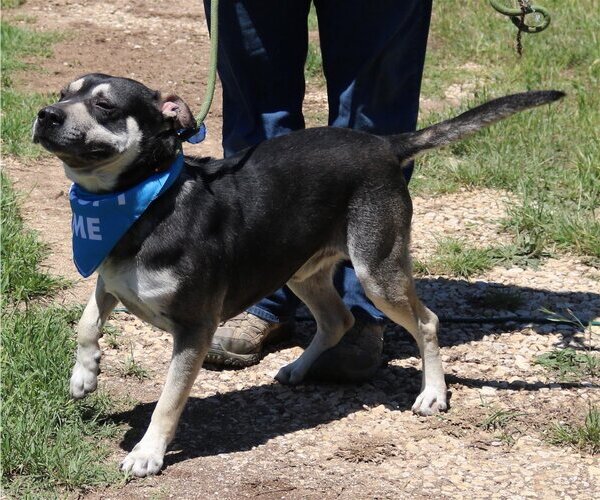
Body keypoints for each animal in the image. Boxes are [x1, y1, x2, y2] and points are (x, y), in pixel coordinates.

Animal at [32, 73, 564, 476]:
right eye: (63, 92)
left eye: (104, 105)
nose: (45, 113)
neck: (146, 200)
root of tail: (384, 144)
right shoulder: (110, 281)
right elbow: (86, 322)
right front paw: (84, 376)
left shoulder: (194, 327)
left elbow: (168, 399)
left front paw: (147, 453)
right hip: (299, 270)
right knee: (337, 320)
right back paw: (299, 368)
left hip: (376, 269)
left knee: (425, 321)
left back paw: (433, 394)